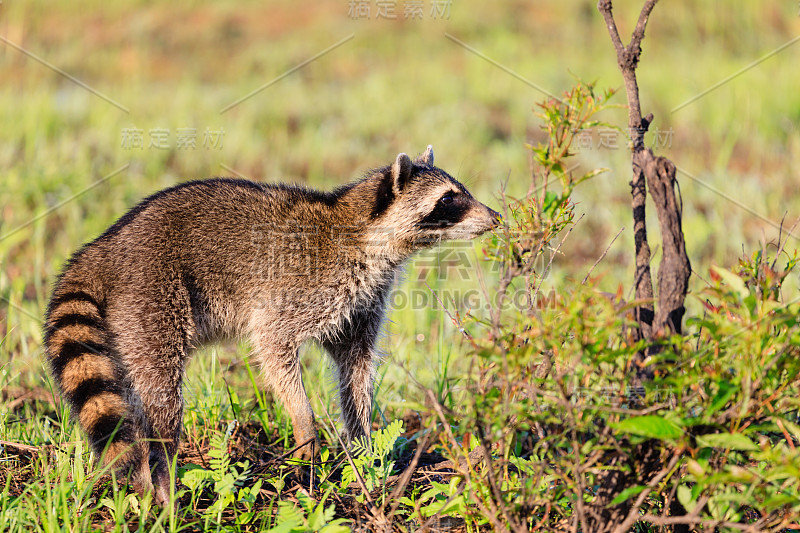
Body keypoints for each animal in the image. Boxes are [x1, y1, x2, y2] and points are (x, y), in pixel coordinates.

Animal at [43, 145, 496, 502]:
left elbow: (356, 371)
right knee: (160, 396)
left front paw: (365, 449)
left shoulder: (364, 301)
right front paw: (304, 419)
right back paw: (160, 482)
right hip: (151, 296)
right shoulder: (304, 286)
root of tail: (102, 247)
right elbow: (273, 344)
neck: (366, 234)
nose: (494, 217)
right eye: (449, 198)